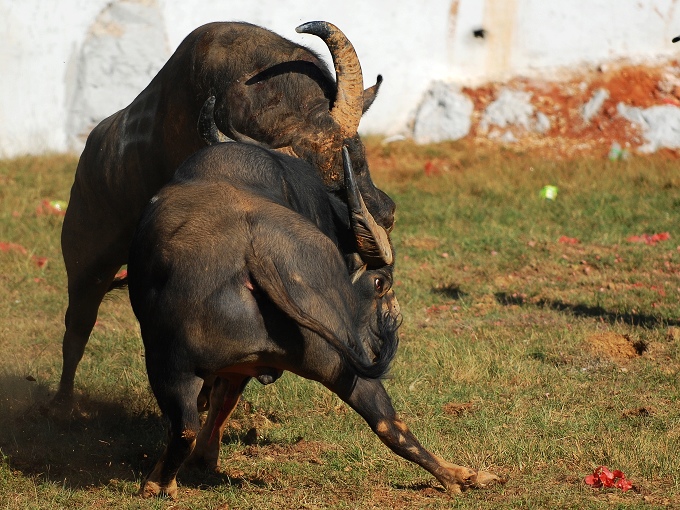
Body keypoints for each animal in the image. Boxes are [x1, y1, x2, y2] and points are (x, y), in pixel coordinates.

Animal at [59, 19, 398, 404]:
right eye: (307, 186)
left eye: (356, 157)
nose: (381, 218)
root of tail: (90, 156)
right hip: (86, 266)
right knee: (77, 328)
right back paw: (63, 401)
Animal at [126, 136, 500, 498]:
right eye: (381, 284)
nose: (394, 322)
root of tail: (259, 252)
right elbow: (222, 401)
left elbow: (221, 400)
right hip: (332, 360)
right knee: (388, 422)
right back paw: (463, 476)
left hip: (175, 362)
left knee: (185, 426)